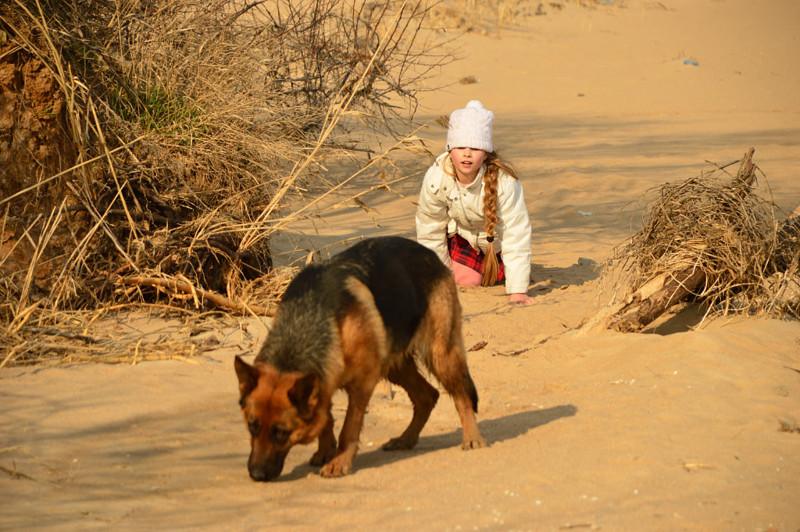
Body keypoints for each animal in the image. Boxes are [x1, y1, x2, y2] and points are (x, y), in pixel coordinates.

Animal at [234, 235, 484, 480]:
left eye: (281, 433)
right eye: (252, 426)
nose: (256, 475)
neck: (304, 321)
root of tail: (430, 254)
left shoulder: (361, 385)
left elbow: (349, 428)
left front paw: (339, 462)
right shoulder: (325, 380)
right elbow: (326, 418)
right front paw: (325, 451)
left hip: (441, 355)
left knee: (461, 395)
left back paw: (472, 437)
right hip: (395, 368)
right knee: (427, 396)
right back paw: (406, 439)